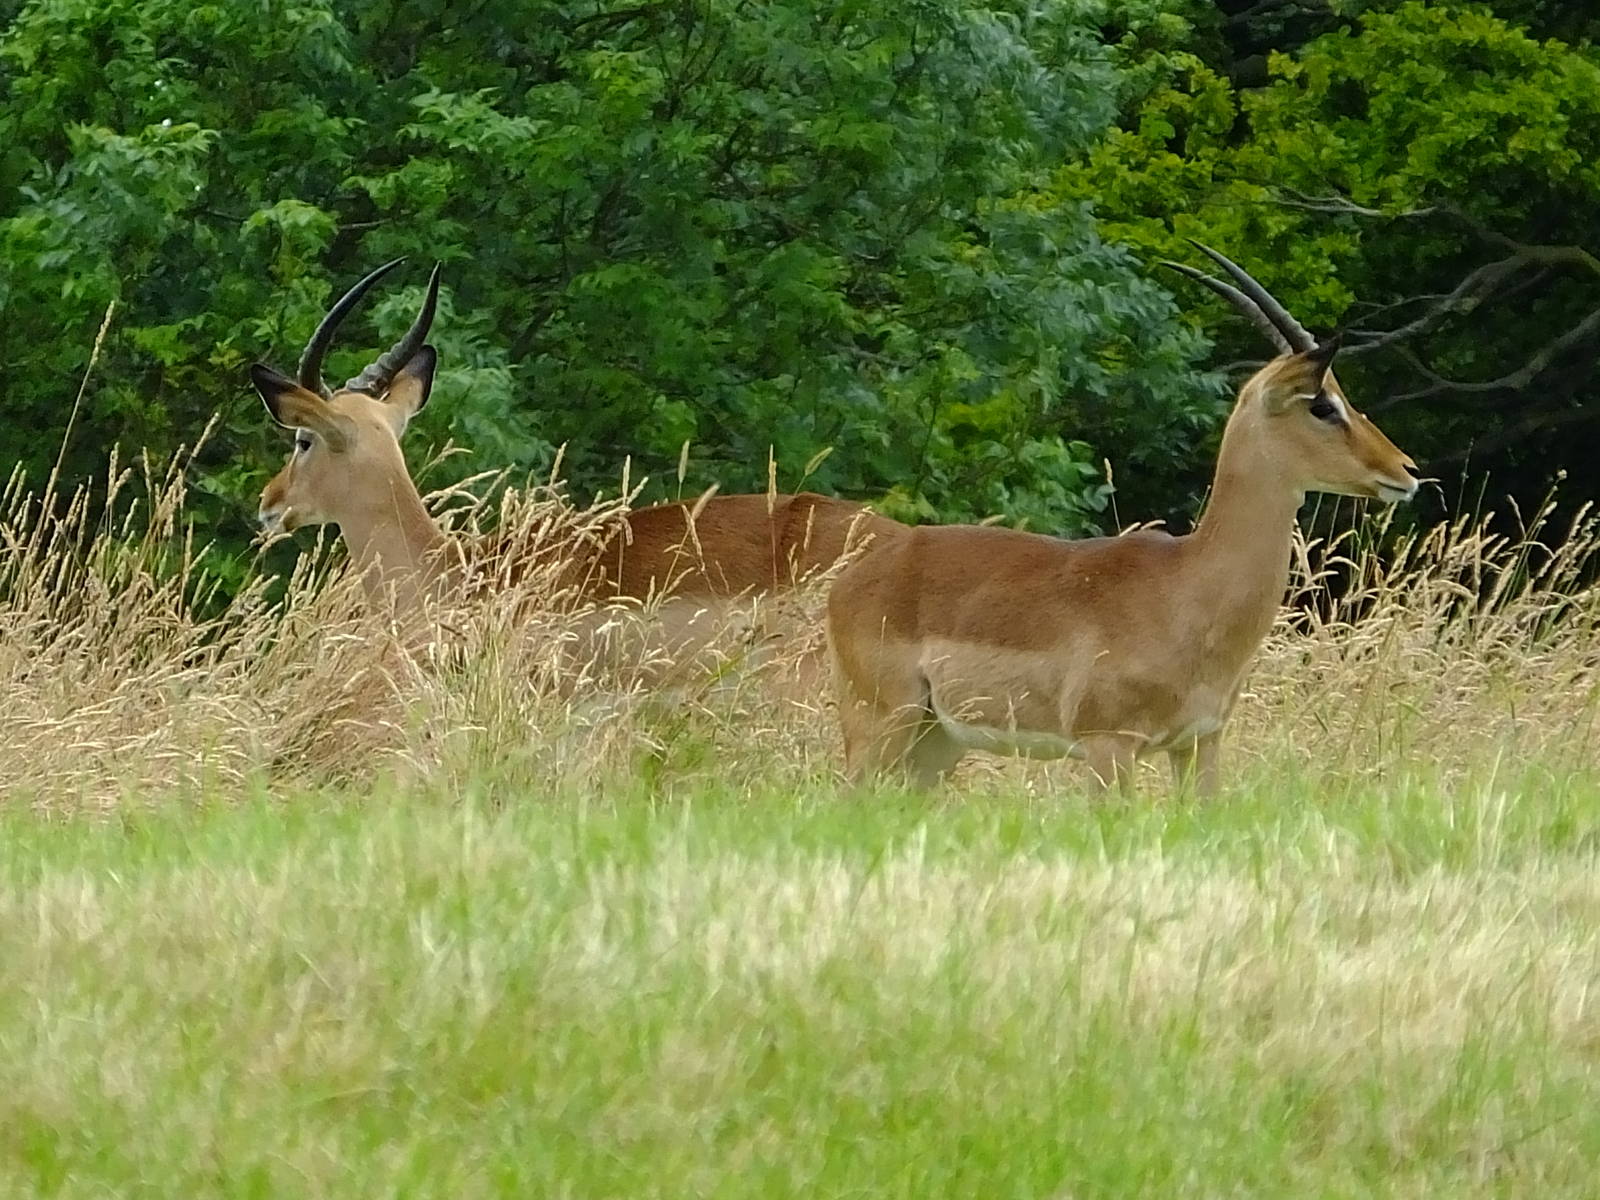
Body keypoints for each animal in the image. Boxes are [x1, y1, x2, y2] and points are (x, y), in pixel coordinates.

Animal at [826, 244, 1419, 795]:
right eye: (1321, 404)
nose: (1407, 470)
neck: (1186, 588)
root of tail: (856, 576)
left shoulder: (1200, 742)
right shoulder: (1109, 745)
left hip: (937, 742)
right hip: (881, 727)